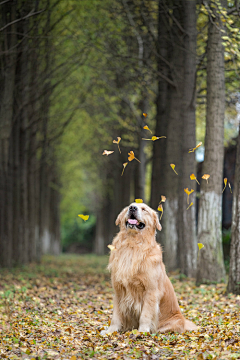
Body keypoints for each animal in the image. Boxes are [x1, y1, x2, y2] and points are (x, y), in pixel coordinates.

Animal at [101, 202, 197, 334]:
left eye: (144, 209)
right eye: (129, 206)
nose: (132, 208)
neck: (132, 245)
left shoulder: (150, 291)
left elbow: (145, 315)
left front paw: (142, 331)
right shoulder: (118, 290)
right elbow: (116, 315)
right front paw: (111, 331)